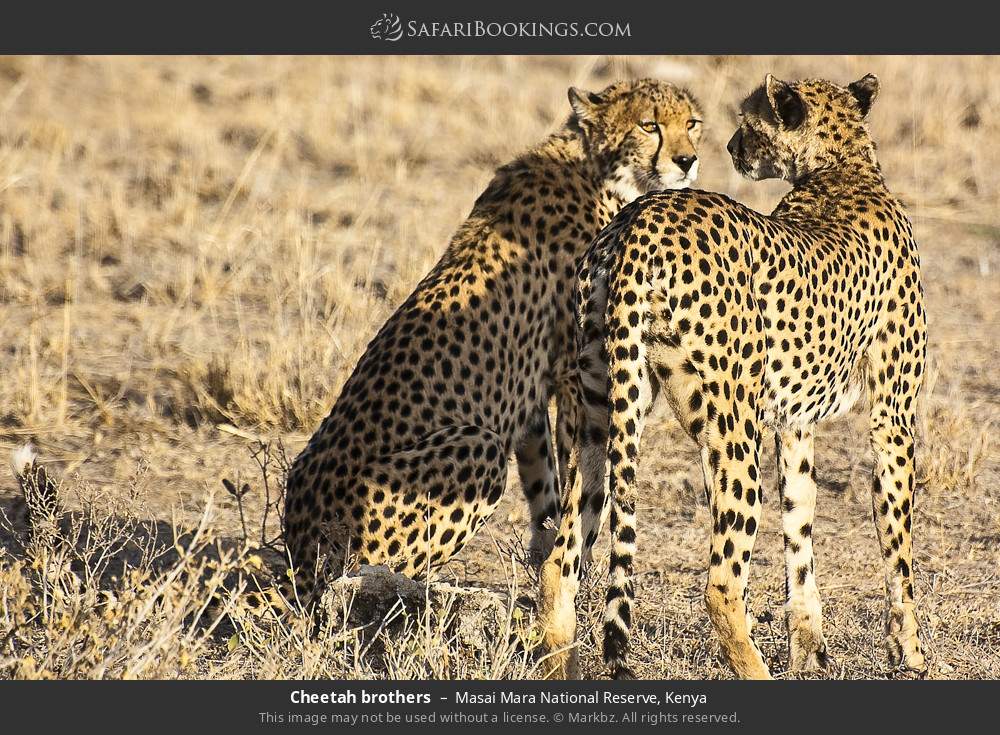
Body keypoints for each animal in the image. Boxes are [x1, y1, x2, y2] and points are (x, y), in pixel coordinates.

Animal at [281, 79, 704, 607]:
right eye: (649, 125)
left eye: (692, 123)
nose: (687, 161)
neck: (594, 167)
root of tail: (299, 547)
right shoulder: (576, 373)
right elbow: (582, 473)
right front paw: (576, 565)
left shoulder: (530, 393)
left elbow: (545, 481)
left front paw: (547, 556)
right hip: (475, 446)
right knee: (365, 575)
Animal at [538, 73, 928, 681]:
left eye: (745, 120)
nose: (726, 147)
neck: (843, 169)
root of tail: (639, 219)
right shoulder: (892, 418)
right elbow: (897, 544)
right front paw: (909, 651)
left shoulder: (794, 422)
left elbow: (800, 527)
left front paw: (809, 648)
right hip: (732, 427)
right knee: (721, 584)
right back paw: (756, 671)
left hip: (605, 411)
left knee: (562, 557)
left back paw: (558, 667)